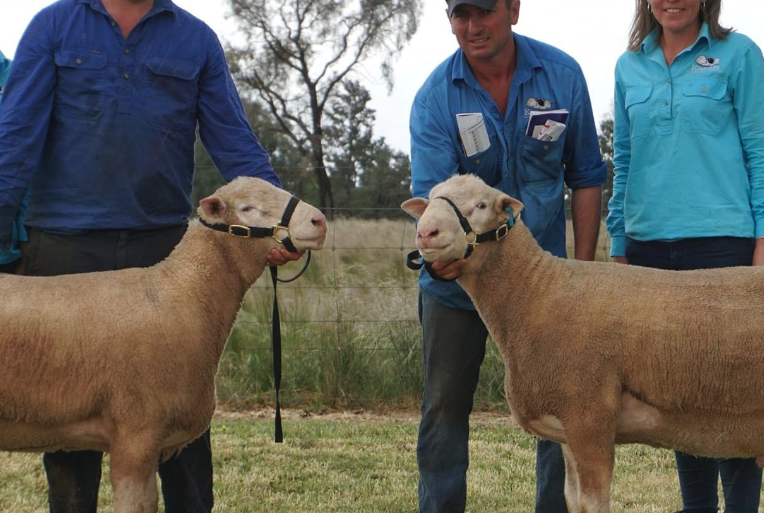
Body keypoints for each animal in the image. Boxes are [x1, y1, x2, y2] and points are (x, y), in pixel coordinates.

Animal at [402, 175, 764, 512]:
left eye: (480, 205)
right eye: (430, 200)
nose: (426, 233)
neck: (536, 293)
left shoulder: (589, 418)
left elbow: (592, 503)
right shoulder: (566, 429)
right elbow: (571, 498)